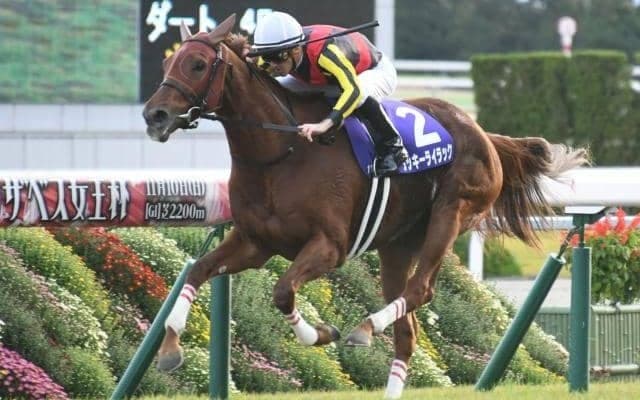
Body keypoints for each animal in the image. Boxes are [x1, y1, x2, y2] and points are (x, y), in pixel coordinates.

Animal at [142, 14, 588, 399]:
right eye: (170, 60)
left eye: (198, 64)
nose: (154, 115)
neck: (281, 151)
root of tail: (483, 133)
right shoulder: (255, 242)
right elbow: (196, 272)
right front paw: (170, 349)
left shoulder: (329, 246)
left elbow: (283, 292)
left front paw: (321, 334)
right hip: (397, 245)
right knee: (407, 331)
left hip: (451, 213)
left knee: (420, 290)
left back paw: (365, 327)